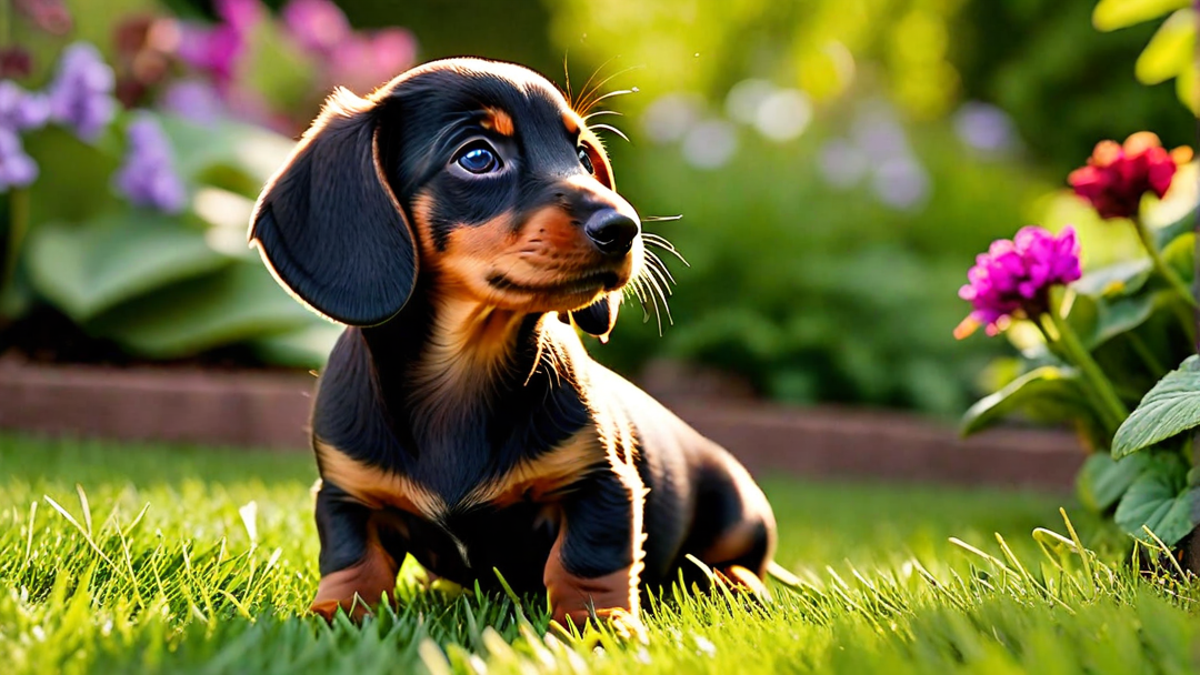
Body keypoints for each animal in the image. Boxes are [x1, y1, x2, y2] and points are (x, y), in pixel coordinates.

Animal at [250, 57, 777, 634]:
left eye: (583, 157)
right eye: (478, 157)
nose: (625, 227)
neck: (462, 371)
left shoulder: (601, 482)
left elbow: (587, 558)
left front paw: (597, 624)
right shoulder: (345, 493)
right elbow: (352, 559)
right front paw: (334, 615)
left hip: (738, 513)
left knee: (731, 563)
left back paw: (734, 582)